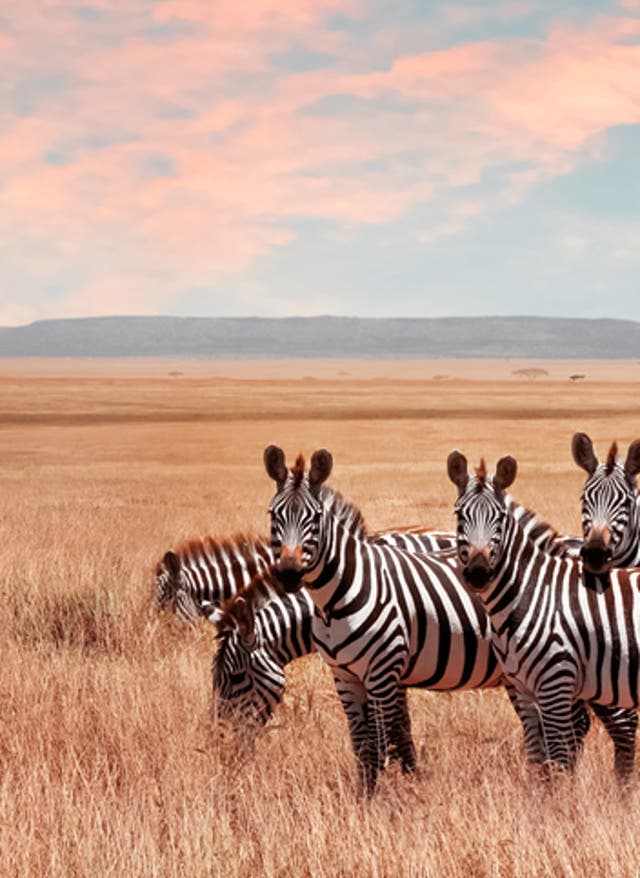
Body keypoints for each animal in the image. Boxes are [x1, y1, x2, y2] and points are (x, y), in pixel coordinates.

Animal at [262, 444, 610, 793]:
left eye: (315, 517)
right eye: (273, 515)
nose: (289, 574)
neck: (338, 597)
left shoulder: (383, 669)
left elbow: (382, 739)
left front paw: (388, 795)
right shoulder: (344, 676)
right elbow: (362, 744)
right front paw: (366, 795)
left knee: (576, 723)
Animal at [447, 449, 639, 781]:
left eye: (499, 518)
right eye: (460, 515)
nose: (478, 572)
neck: (533, 590)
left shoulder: (556, 683)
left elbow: (559, 756)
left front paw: (563, 795)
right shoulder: (524, 688)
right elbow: (537, 753)